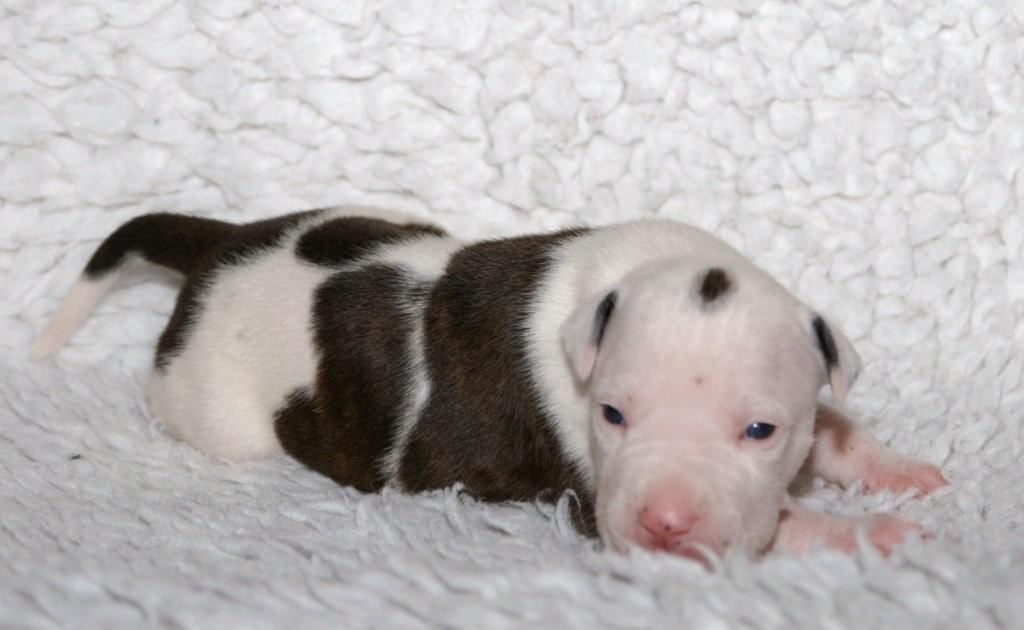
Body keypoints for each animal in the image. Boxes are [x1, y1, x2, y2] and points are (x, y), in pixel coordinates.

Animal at [32, 207, 947, 561]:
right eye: (612, 415)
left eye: (760, 430)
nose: (663, 525)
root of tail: (223, 244)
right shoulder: (590, 497)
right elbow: (785, 527)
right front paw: (878, 534)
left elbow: (834, 433)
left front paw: (898, 472)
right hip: (216, 414)